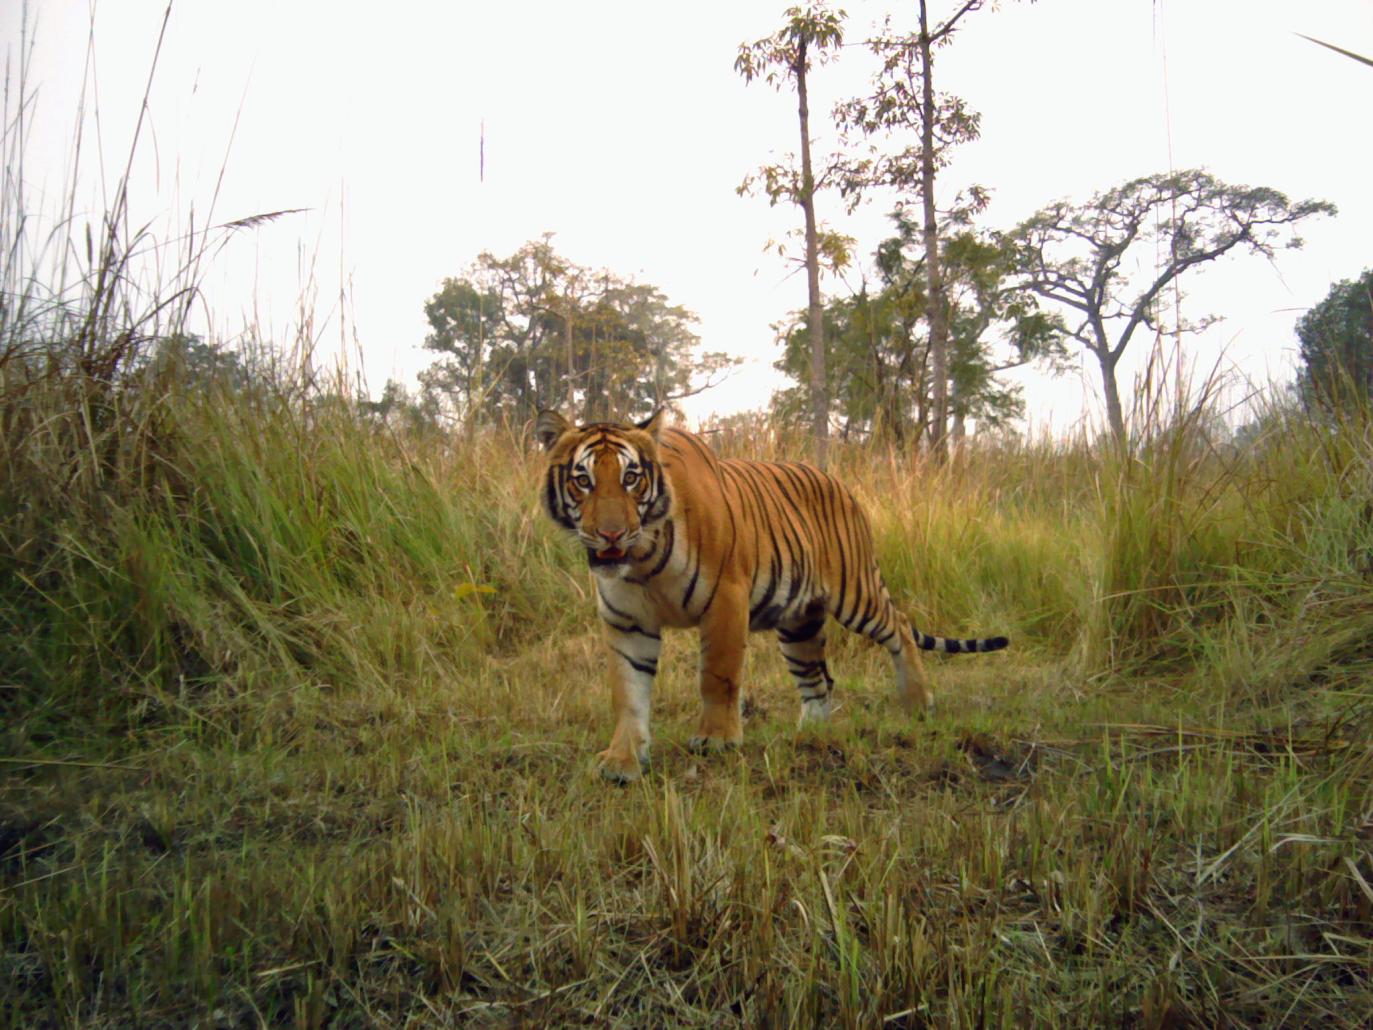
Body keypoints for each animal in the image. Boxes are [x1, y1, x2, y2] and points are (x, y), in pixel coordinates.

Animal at [535, 409, 1008, 783]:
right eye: (583, 480)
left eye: (631, 478)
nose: (611, 534)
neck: (642, 559)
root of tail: (840, 483)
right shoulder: (628, 622)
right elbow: (628, 694)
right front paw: (623, 760)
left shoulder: (725, 600)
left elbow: (717, 676)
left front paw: (717, 739)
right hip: (799, 624)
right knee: (818, 681)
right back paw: (810, 736)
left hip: (856, 595)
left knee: (901, 628)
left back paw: (918, 703)